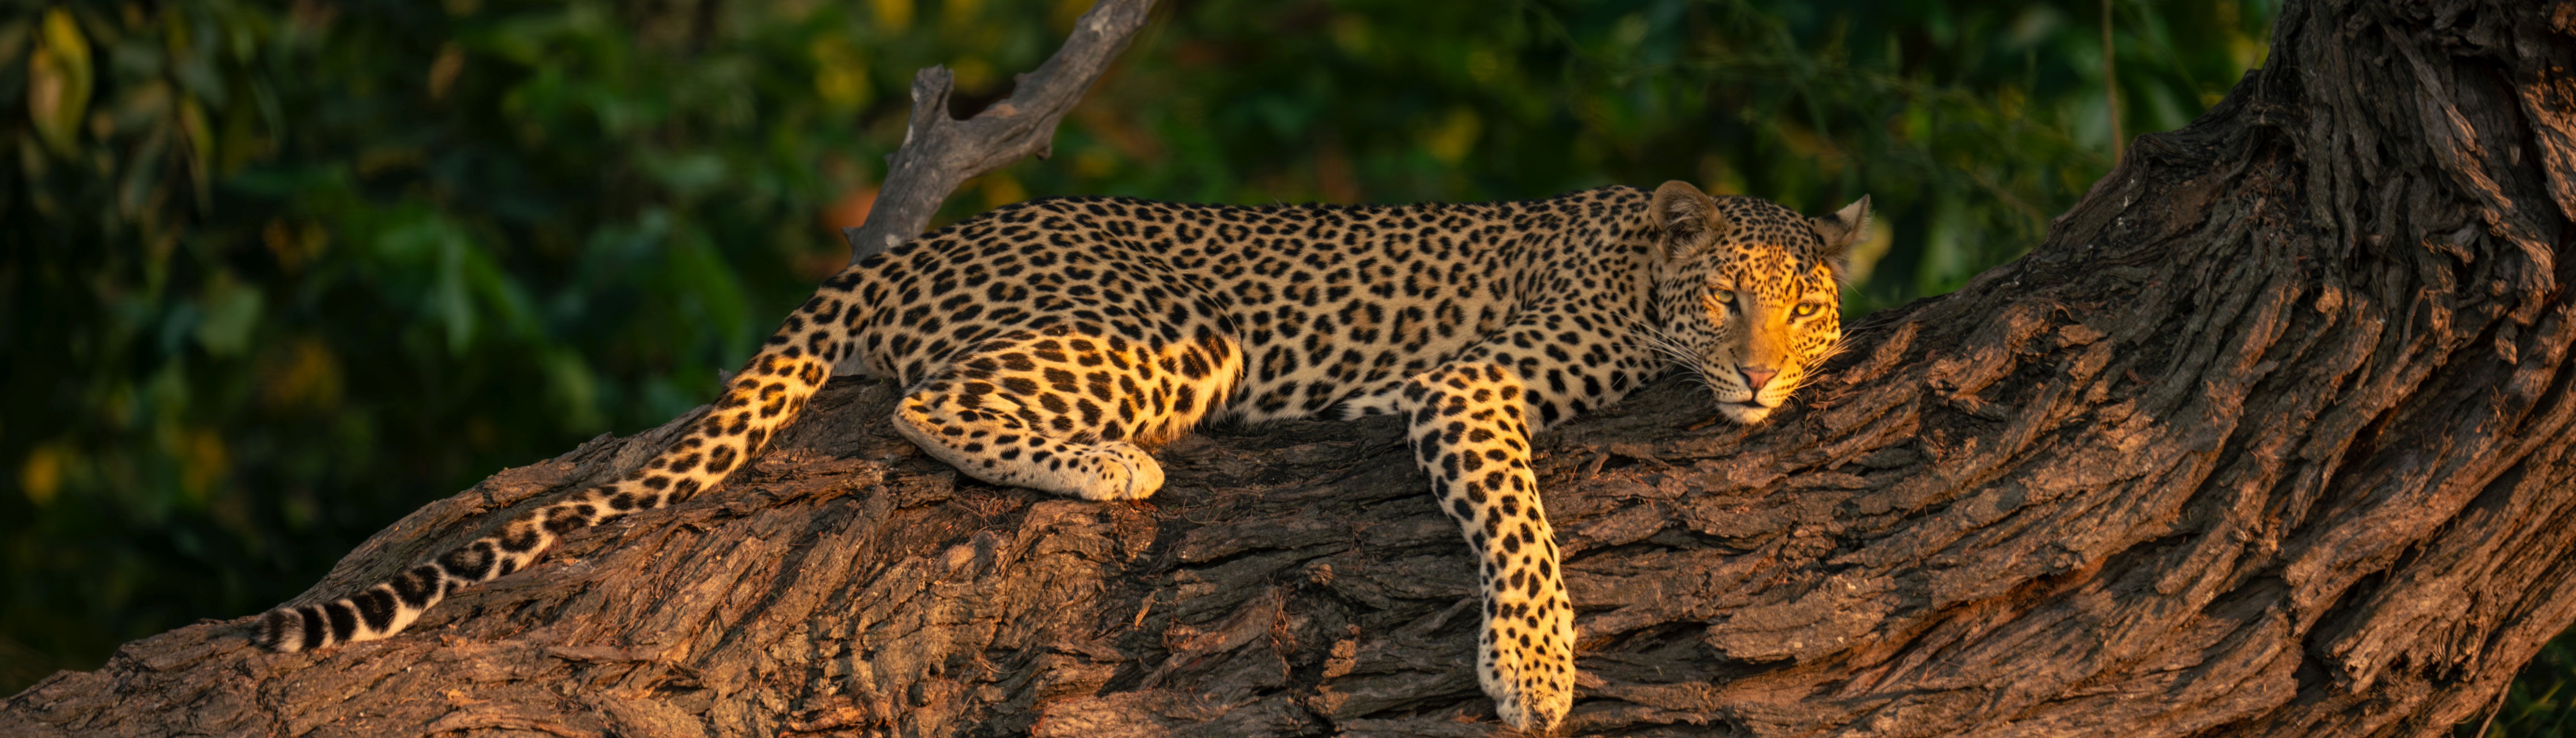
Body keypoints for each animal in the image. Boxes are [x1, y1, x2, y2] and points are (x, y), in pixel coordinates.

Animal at [252, 180, 1868, 733]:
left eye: (1804, 302)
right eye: (1730, 297)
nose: (1762, 370)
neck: (1639, 278)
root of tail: (920, 246)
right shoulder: (1468, 384)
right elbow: (1520, 529)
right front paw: (1533, 668)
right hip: (1170, 333)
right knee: (924, 407)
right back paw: (1115, 471)